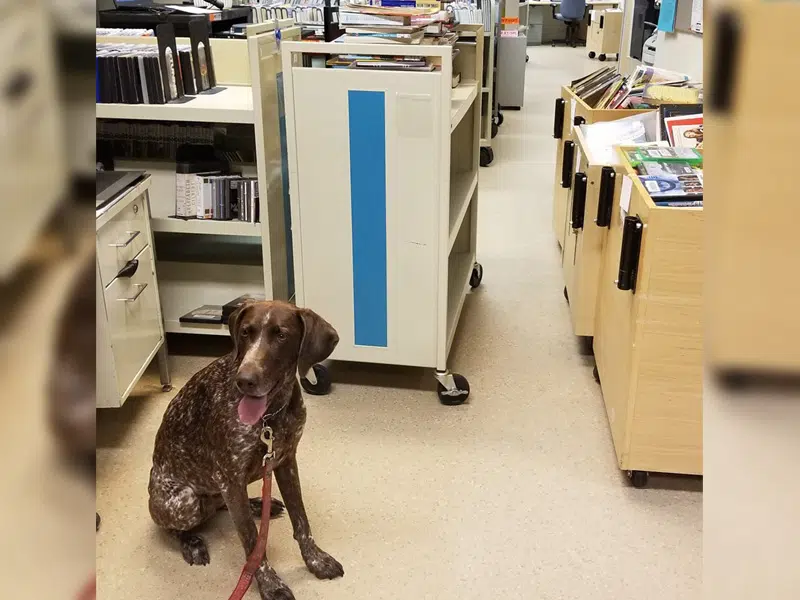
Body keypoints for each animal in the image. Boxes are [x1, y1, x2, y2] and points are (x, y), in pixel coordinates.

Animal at [148, 300, 342, 600]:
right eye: (245, 332)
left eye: (281, 335)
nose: (245, 380)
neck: (270, 416)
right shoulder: (229, 478)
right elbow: (252, 543)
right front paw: (271, 584)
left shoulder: (285, 461)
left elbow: (301, 521)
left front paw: (316, 561)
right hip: (184, 501)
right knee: (174, 527)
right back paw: (191, 542)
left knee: (223, 506)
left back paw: (257, 505)